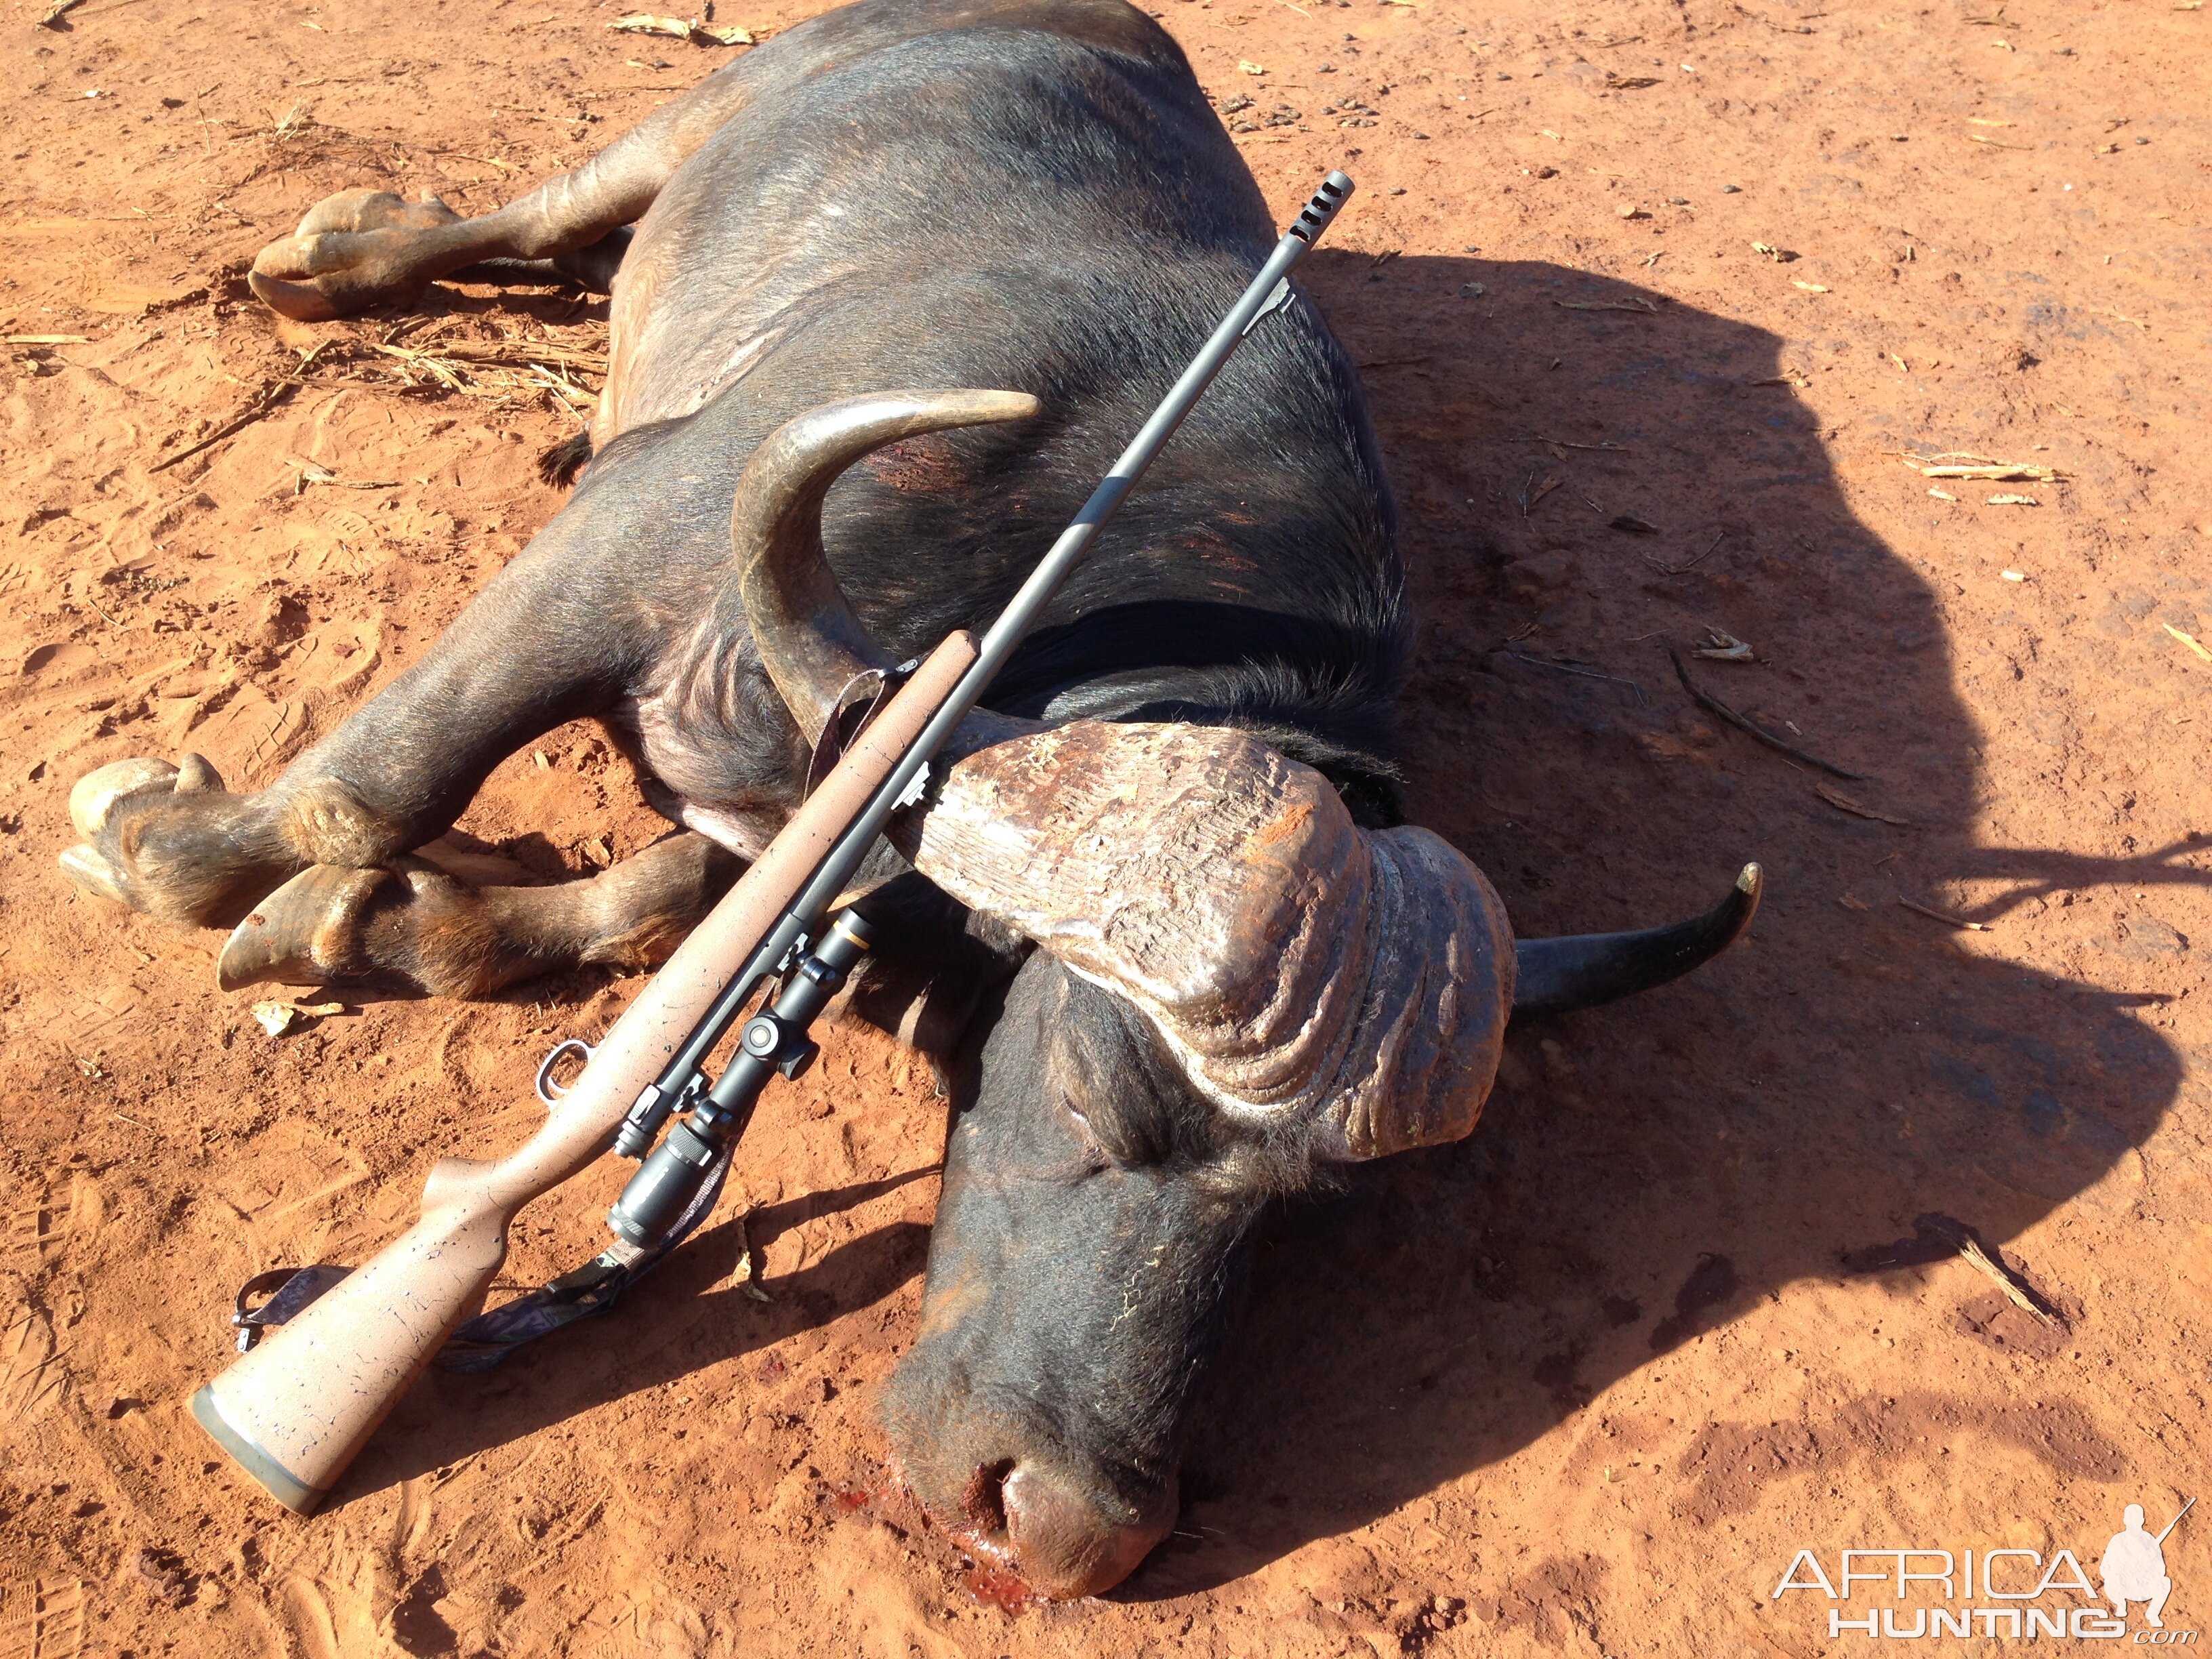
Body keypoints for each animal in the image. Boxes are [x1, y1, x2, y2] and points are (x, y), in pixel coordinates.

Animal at [56, 0, 1761, 1601]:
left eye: (1314, 1207)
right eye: (1098, 1092)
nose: (1065, 1523)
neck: (1114, 578)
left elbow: (655, 898)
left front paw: (410, 927)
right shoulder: (617, 548)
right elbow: (376, 779)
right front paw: (164, 837)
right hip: (709, 108)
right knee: (537, 213)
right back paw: (331, 253)